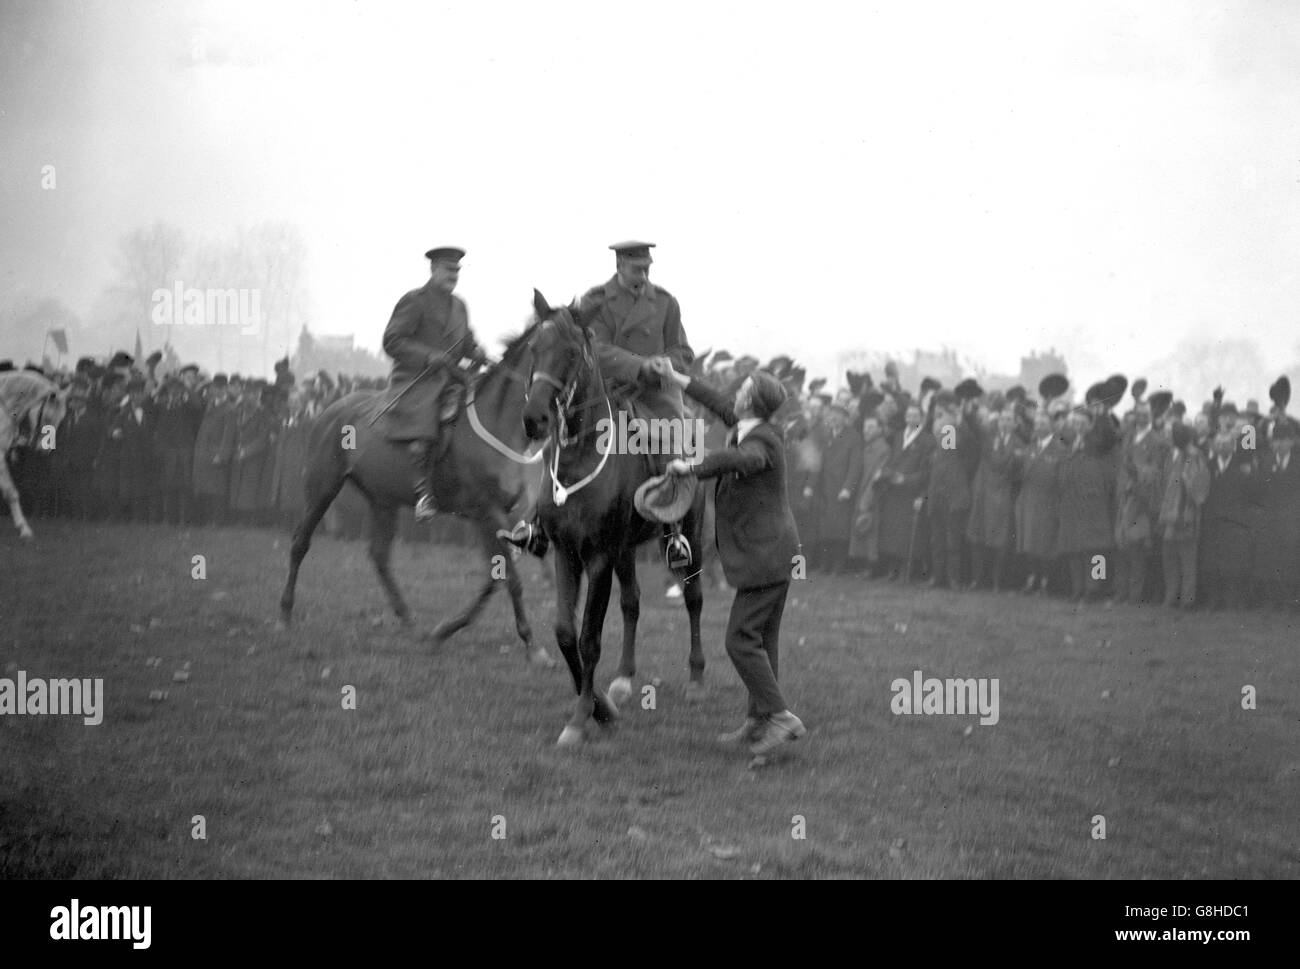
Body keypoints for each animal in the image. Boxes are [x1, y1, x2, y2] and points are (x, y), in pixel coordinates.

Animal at [1, 369, 67, 541]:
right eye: (47, 418)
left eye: (60, 420)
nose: (45, 451)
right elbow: (11, 492)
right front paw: (24, 530)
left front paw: (23, 528)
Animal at [279, 317, 553, 665]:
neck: (504, 425)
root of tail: (330, 411)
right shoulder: (487, 514)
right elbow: (510, 578)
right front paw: (533, 646)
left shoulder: (509, 519)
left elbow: (497, 576)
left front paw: (445, 630)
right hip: (322, 487)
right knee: (300, 543)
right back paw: (285, 614)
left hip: (382, 500)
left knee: (380, 555)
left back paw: (409, 621)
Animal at [517, 291, 707, 743]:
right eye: (533, 348)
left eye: (570, 353)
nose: (534, 419)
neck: (580, 458)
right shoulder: (566, 552)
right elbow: (566, 633)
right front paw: (601, 706)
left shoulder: (599, 556)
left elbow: (589, 638)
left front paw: (581, 717)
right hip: (626, 549)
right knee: (632, 602)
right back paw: (623, 678)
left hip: (690, 533)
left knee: (693, 597)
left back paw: (696, 679)